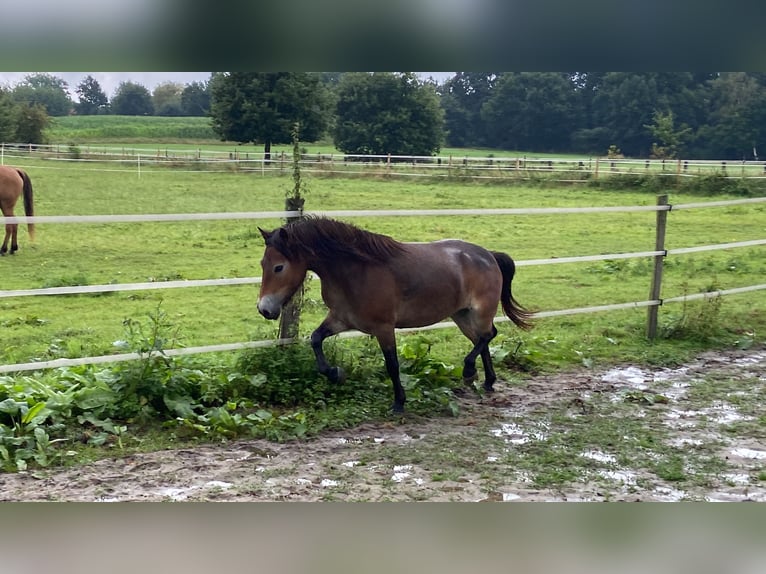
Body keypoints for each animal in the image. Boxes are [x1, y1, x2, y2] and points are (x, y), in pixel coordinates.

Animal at [255, 217, 532, 414]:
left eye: (279, 267)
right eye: (262, 264)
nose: (264, 309)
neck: (356, 271)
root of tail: (489, 255)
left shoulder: (384, 327)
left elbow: (392, 364)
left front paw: (399, 403)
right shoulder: (341, 319)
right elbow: (315, 339)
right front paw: (335, 374)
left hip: (480, 312)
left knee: (487, 335)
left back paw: (469, 371)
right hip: (461, 315)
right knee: (481, 339)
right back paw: (486, 381)